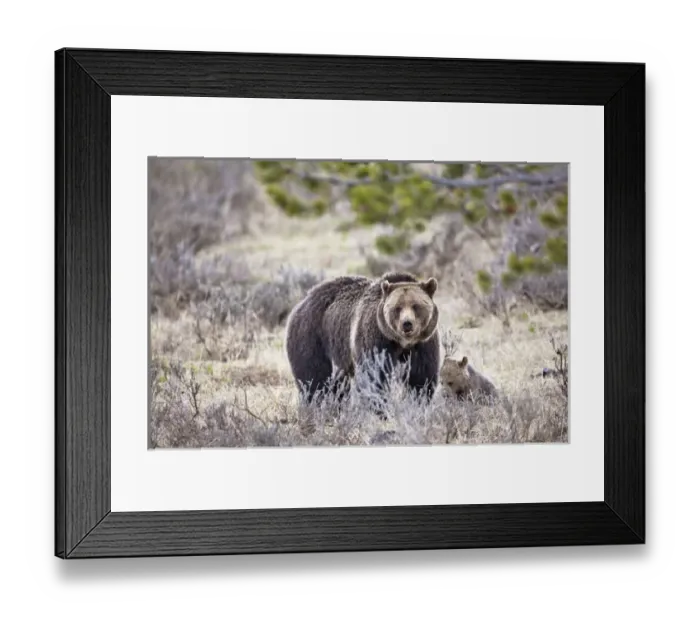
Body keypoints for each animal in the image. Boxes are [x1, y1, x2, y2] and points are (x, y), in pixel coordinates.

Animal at [284, 271, 441, 404]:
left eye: (416, 306)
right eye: (397, 308)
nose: (407, 324)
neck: (401, 343)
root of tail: (302, 301)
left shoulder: (423, 344)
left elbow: (420, 377)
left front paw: (418, 401)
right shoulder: (375, 338)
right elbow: (374, 377)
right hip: (312, 336)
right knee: (315, 377)